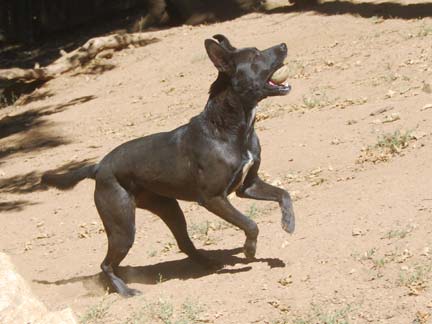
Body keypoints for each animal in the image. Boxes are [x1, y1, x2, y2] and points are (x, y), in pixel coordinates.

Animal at [42, 34, 296, 296]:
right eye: (255, 56)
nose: (284, 45)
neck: (228, 129)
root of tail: (98, 167)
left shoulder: (248, 186)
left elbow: (284, 194)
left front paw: (288, 223)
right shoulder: (214, 198)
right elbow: (250, 223)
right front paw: (249, 249)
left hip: (168, 209)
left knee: (184, 244)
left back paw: (209, 263)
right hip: (123, 226)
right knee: (106, 264)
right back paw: (126, 291)